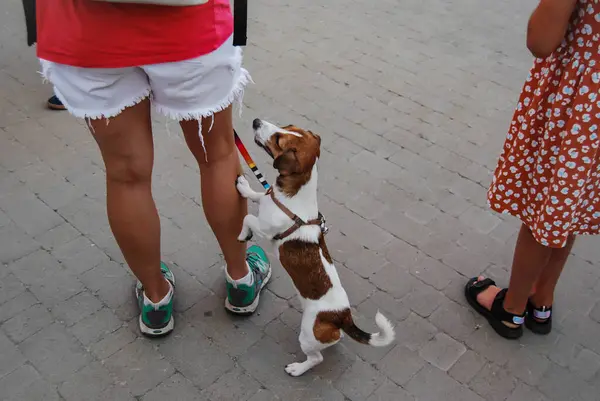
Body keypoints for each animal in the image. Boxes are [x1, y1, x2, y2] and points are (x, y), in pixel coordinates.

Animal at [237, 118, 396, 376]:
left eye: (279, 139)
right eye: (287, 126)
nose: (256, 121)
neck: (291, 197)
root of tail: (343, 318)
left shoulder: (266, 228)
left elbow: (248, 219)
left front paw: (243, 235)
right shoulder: (267, 198)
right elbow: (259, 193)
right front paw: (244, 187)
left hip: (307, 335)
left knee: (316, 358)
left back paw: (297, 368)